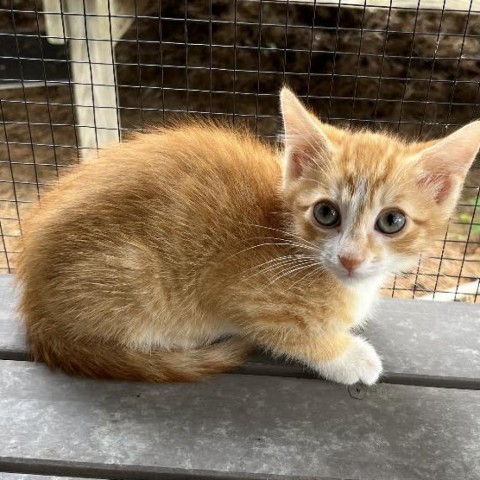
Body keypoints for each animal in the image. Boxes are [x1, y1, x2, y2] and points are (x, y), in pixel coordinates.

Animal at [16, 88, 478, 384]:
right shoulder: (239, 294)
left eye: (392, 221)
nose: (350, 259)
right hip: (137, 273)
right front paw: (348, 356)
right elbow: (287, 332)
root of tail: (34, 308)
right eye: (326, 213)